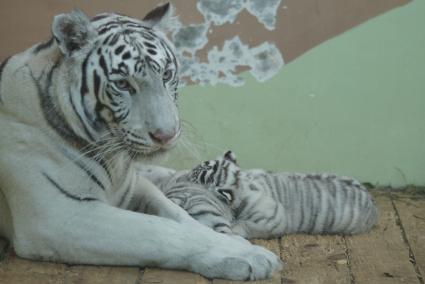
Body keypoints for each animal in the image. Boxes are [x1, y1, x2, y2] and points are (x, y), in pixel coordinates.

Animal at [0, 3, 282, 280]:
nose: (166, 134)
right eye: (123, 84)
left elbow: (179, 215)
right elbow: (160, 230)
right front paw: (247, 256)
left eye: (166, 75)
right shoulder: (57, 215)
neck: (114, 161)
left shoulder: (136, 186)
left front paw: (237, 243)